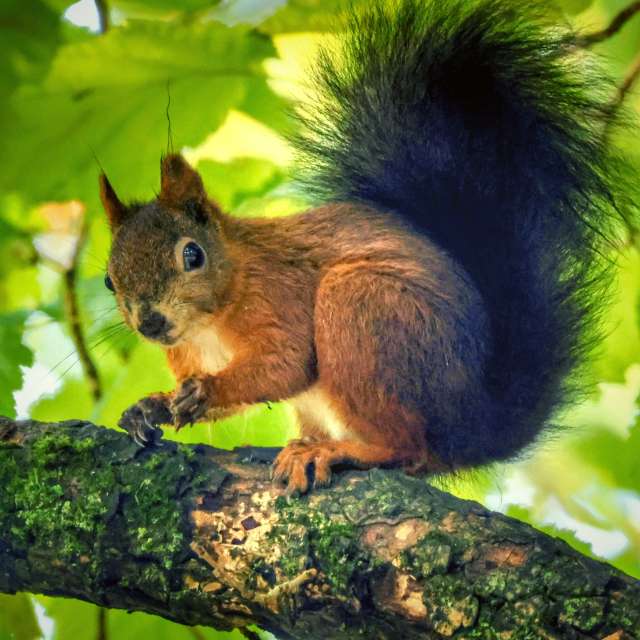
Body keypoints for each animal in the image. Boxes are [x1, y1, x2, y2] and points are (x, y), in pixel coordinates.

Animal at [99, 0, 631, 494]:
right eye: (108, 279)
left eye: (192, 255)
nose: (149, 322)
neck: (212, 320)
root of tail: (474, 426)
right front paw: (151, 407)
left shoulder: (280, 294)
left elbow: (286, 364)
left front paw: (206, 391)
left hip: (363, 309)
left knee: (408, 449)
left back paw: (335, 451)